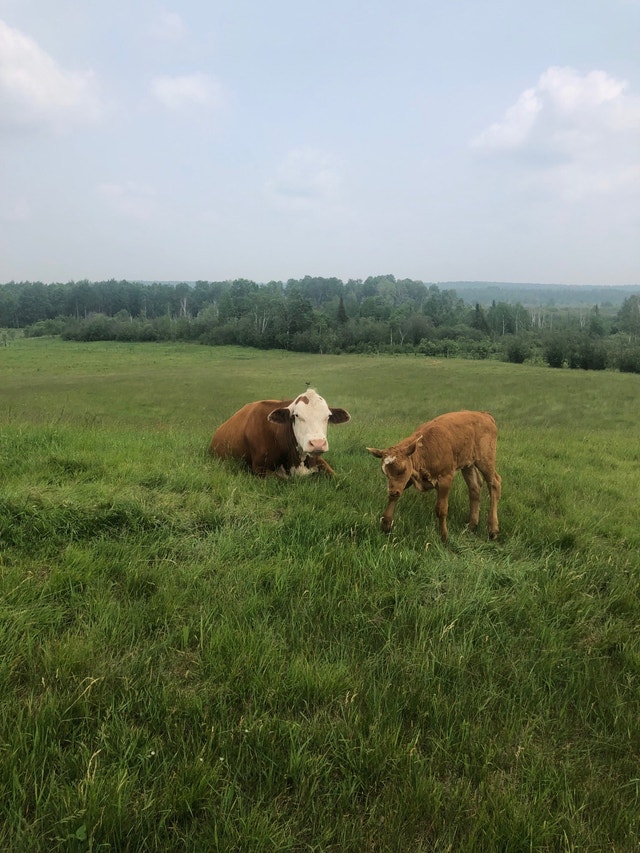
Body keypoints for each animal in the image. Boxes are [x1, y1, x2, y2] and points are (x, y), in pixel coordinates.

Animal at [210, 389, 351, 477]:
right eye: (296, 415)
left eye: (328, 416)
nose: (317, 444)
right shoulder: (259, 468)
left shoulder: (318, 460)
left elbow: (339, 478)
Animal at [366, 410, 501, 542]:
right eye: (385, 472)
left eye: (402, 469)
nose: (393, 492)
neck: (424, 451)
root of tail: (484, 415)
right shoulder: (408, 479)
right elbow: (393, 499)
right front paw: (386, 524)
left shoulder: (445, 479)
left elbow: (441, 509)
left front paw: (444, 536)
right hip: (468, 464)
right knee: (475, 486)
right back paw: (472, 525)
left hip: (485, 460)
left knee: (494, 483)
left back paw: (492, 529)